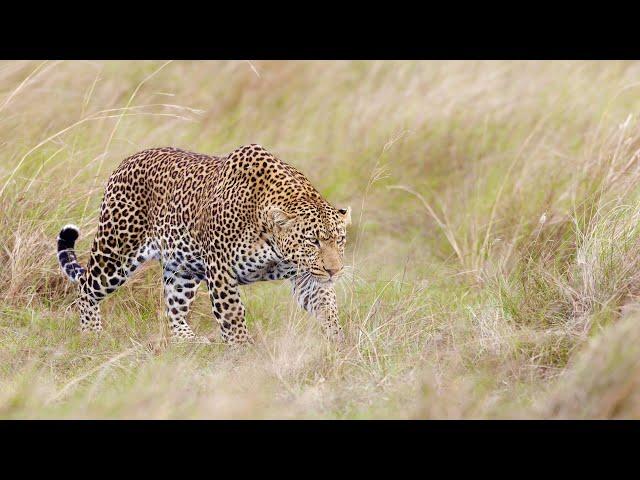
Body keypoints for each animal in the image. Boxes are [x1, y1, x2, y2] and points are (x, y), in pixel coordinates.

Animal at [57, 143, 352, 344]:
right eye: (312, 241)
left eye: (339, 240)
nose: (334, 271)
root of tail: (126, 161)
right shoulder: (221, 270)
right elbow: (233, 316)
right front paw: (244, 353)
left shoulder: (307, 276)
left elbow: (326, 306)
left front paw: (339, 344)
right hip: (116, 251)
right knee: (86, 287)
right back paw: (91, 334)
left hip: (182, 270)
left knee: (173, 308)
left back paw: (189, 341)